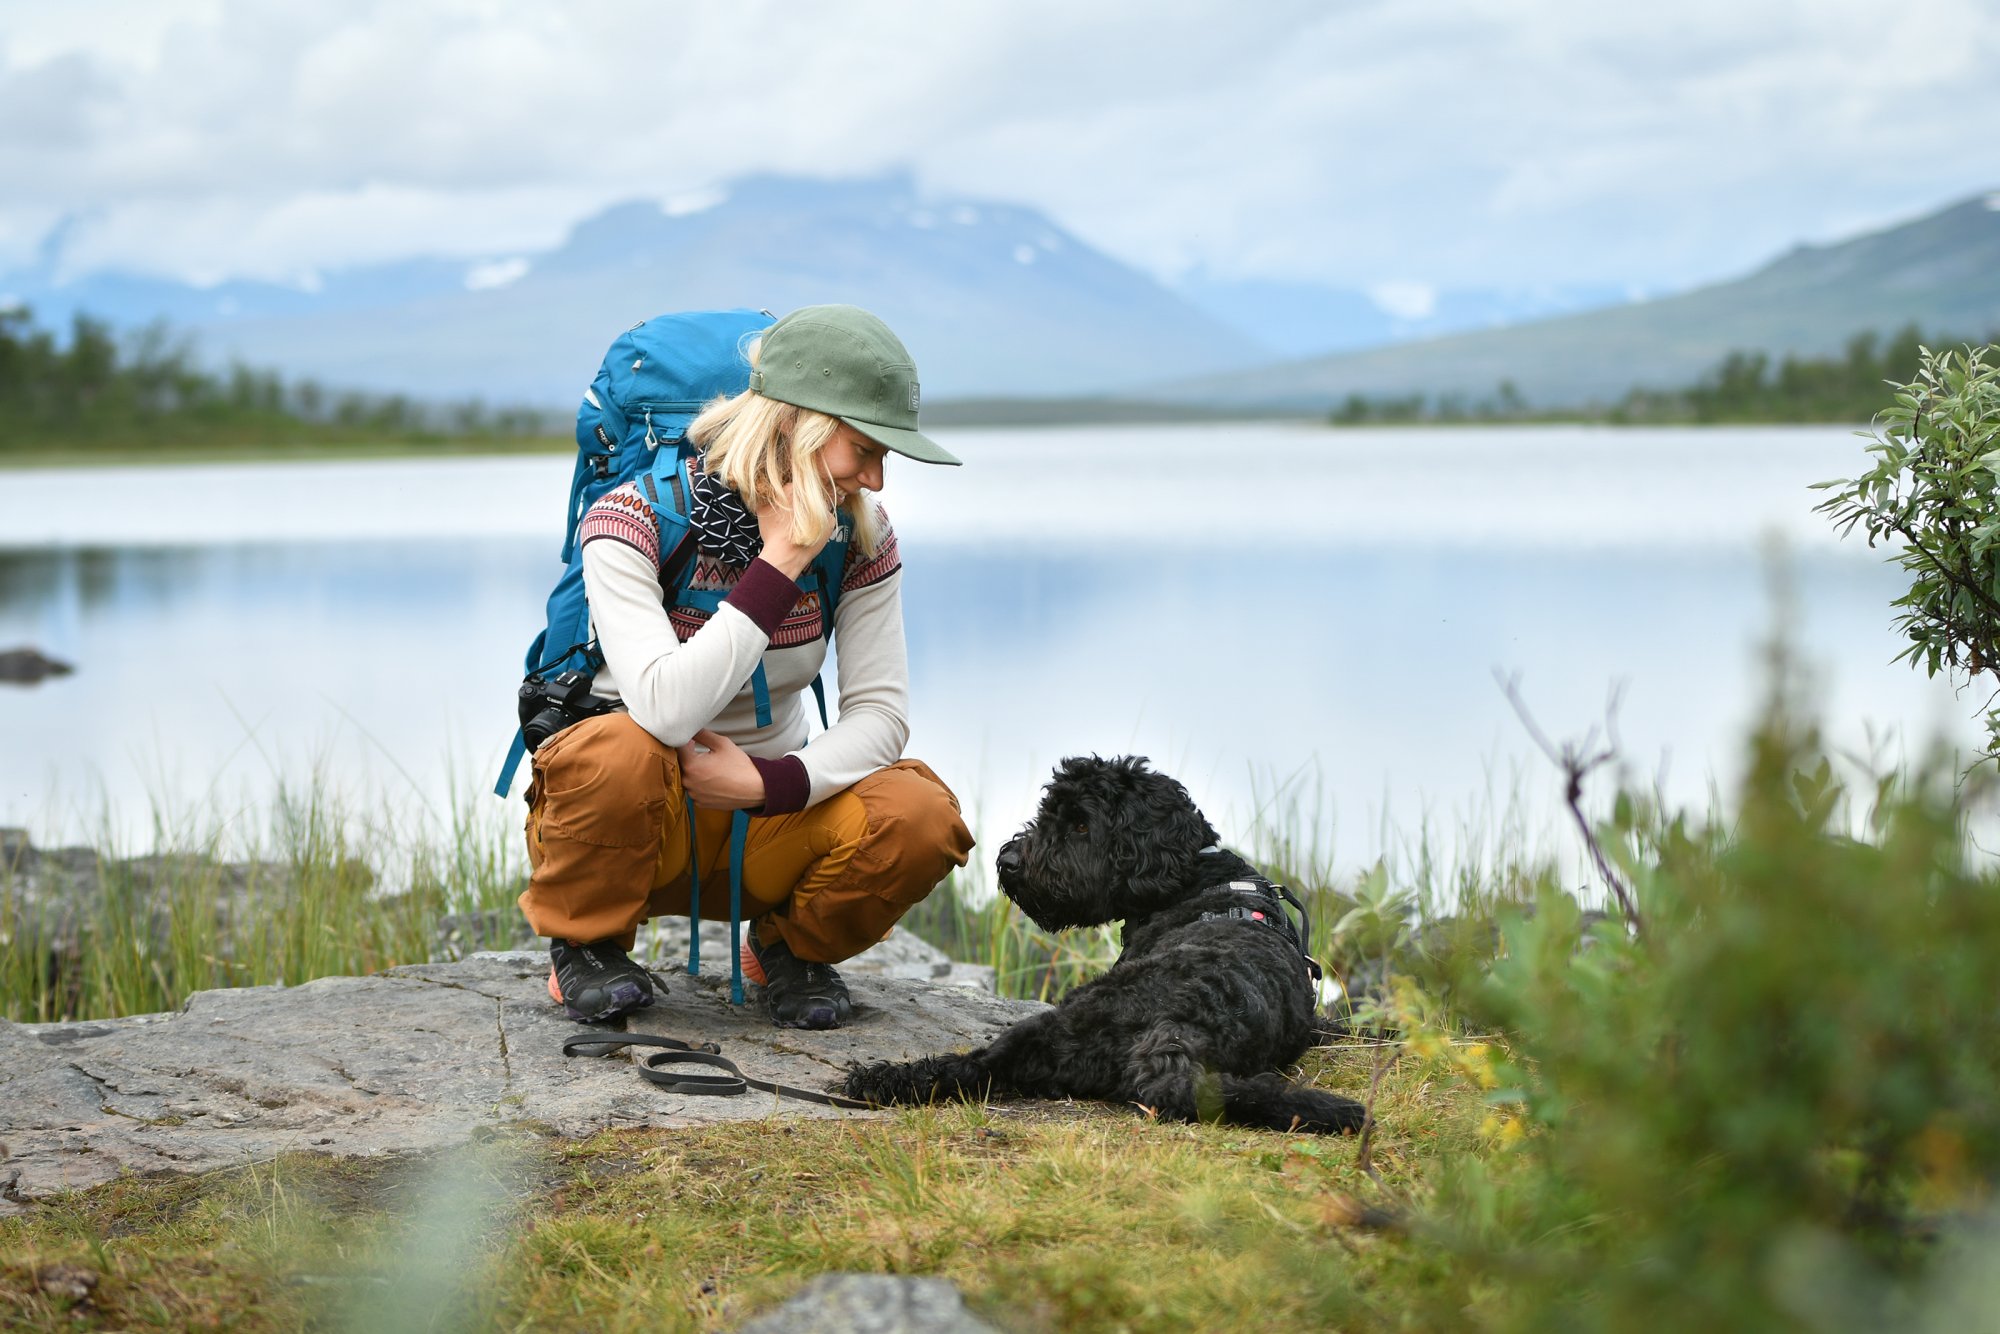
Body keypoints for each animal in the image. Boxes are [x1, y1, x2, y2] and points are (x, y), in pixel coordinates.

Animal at [836, 756, 1368, 1136]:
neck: (1193, 873)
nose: (1008, 861)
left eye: (1081, 825)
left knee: (970, 1064)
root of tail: (1171, 1032)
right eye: (1048, 813)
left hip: (1054, 1020)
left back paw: (879, 1079)